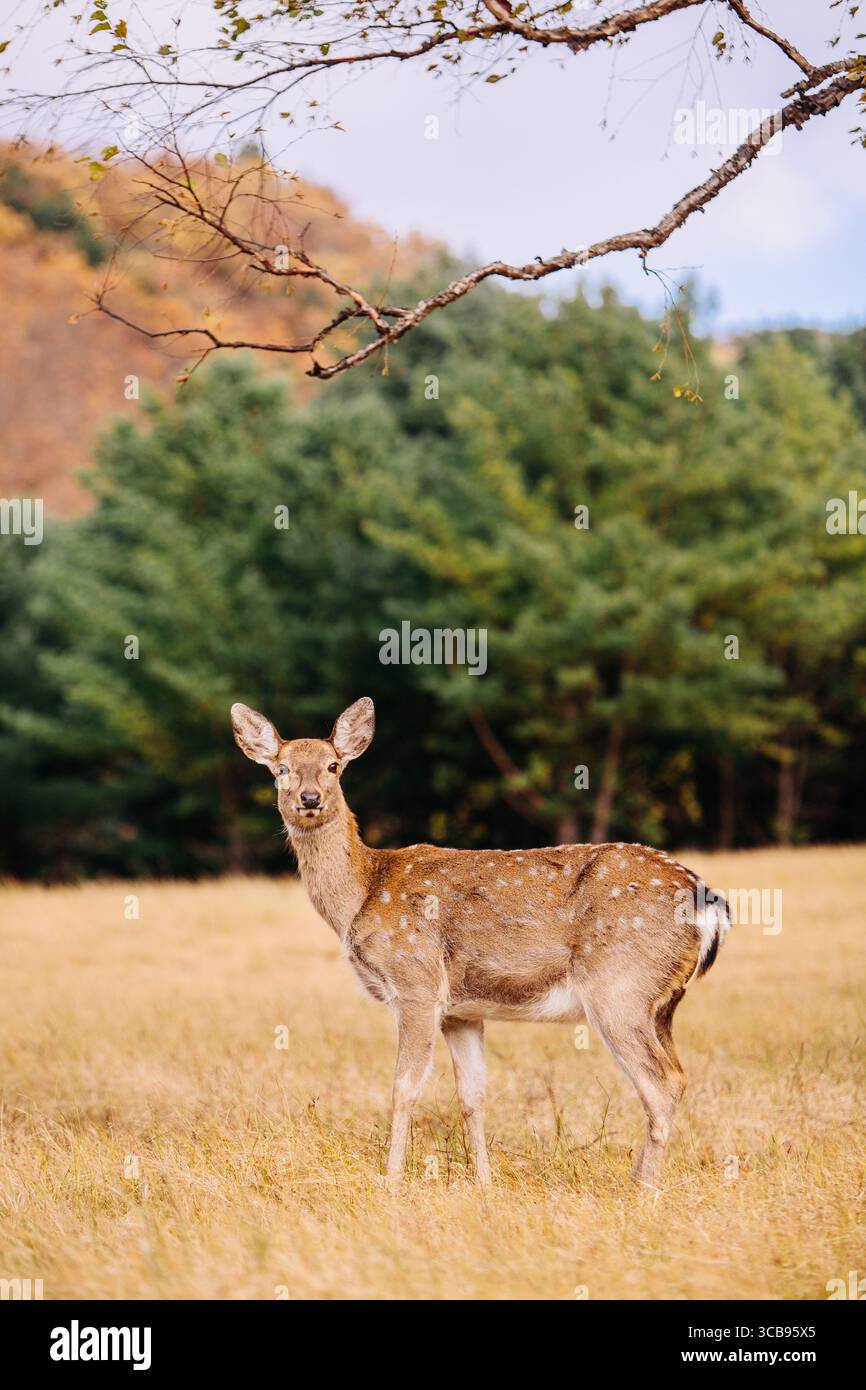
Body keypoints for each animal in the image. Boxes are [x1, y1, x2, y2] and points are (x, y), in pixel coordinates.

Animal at [231, 696, 729, 1190]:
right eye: (281, 768)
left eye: (333, 765)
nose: (309, 798)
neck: (363, 892)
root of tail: (706, 900)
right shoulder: (462, 1011)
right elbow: (472, 1096)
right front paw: (485, 1182)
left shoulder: (416, 982)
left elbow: (403, 1088)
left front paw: (391, 1179)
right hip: (661, 1002)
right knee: (677, 1075)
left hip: (620, 987)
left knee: (662, 1083)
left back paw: (644, 1189)